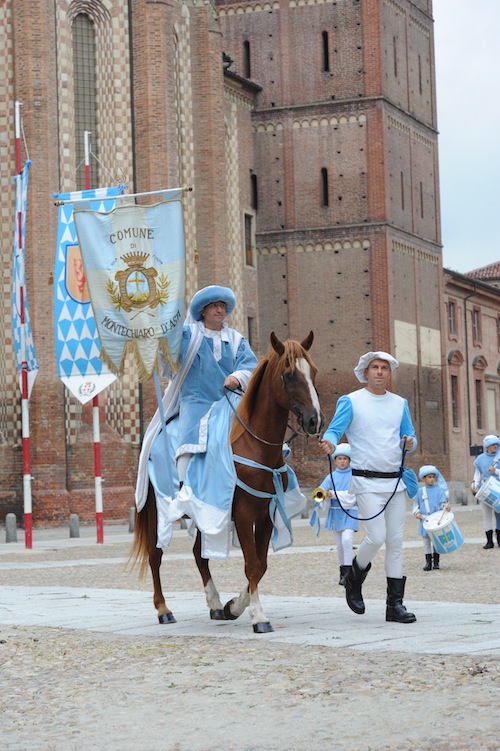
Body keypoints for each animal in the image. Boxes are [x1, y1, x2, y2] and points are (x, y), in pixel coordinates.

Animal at [130, 332, 324, 632]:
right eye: (289, 374)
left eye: (313, 371)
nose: (315, 420)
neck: (255, 446)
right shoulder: (243, 514)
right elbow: (252, 564)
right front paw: (258, 616)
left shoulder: (266, 513)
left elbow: (261, 564)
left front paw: (234, 606)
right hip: (155, 508)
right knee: (155, 554)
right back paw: (163, 609)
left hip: (202, 514)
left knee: (198, 554)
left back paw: (215, 604)